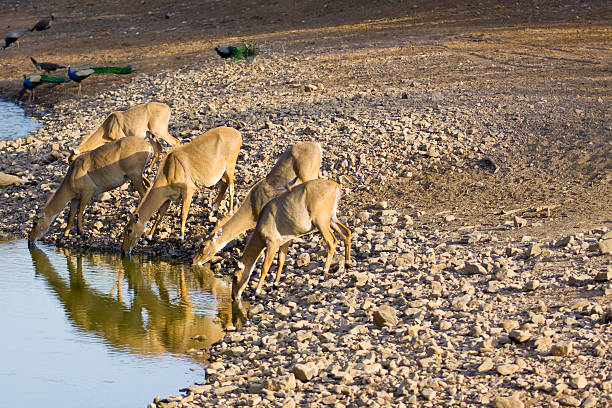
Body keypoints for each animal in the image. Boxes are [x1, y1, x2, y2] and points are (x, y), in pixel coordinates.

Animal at [28, 135, 160, 247]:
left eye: (35, 222)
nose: (30, 241)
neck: (72, 176)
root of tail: (148, 145)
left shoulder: (87, 193)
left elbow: (80, 212)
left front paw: (81, 233)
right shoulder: (75, 198)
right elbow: (70, 215)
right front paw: (64, 235)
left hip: (134, 175)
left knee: (143, 192)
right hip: (136, 175)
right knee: (148, 188)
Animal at [120, 126, 243, 256]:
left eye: (129, 230)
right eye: (125, 229)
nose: (124, 251)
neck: (168, 171)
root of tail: (237, 133)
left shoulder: (189, 191)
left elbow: (183, 214)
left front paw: (181, 238)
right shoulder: (168, 198)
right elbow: (159, 215)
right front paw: (148, 238)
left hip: (230, 166)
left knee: (231, 186)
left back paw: (229, 211)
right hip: (221, 172)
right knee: (224, 184)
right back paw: (213, 209)